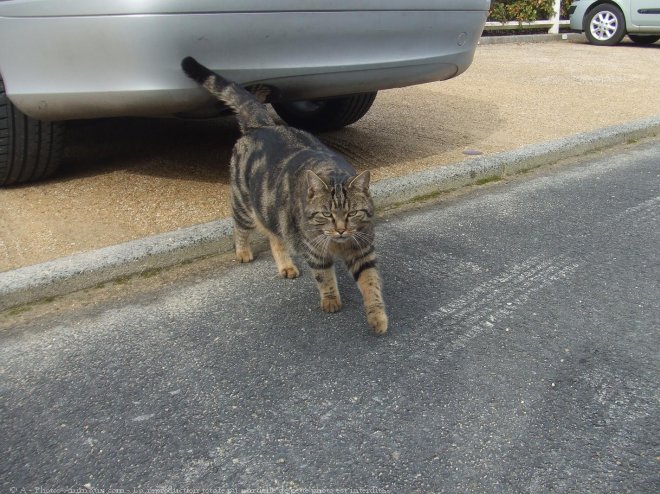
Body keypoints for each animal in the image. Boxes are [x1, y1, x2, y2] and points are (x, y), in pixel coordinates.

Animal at [180, 58, 386, 336]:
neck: (338, 244)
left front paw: (378, 317)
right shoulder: (315, 253)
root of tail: (262, 125)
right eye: (327, 214)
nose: (341, 229)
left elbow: (371, 284)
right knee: (240, 228)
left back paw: (285, 265)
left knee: (275, 238)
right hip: (244, 205)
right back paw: (243, 251)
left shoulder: (362, 250)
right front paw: (331, 300)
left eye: (352, 213)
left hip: (272, 211)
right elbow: (325, 278)